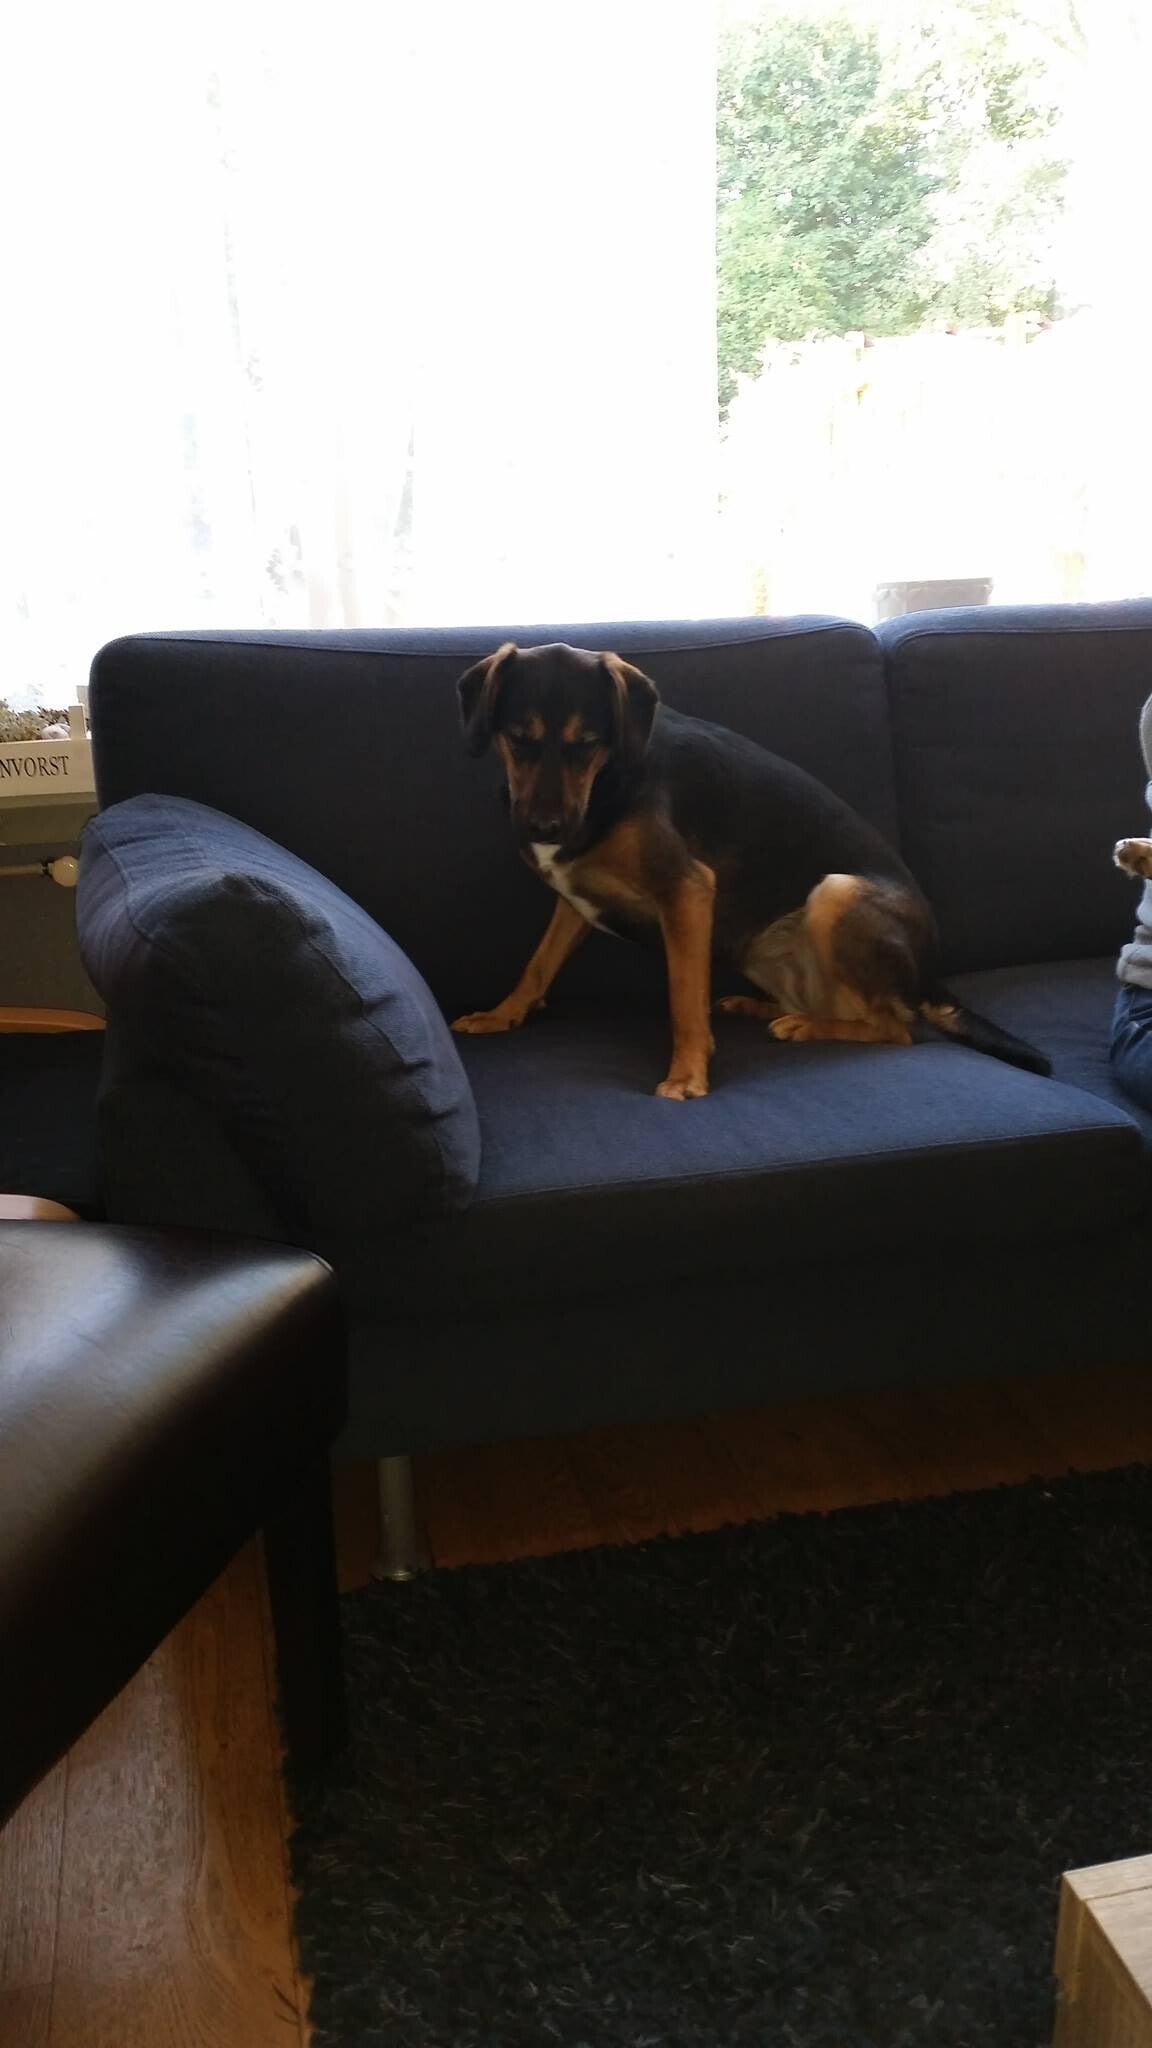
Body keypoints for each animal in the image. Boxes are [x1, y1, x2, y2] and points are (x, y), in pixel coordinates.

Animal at [451, 641, 1050, 1099]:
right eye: (518, 738)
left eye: (587, 745)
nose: (544, 828)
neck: (608, 783)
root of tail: (930, 976)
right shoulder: (574, 900)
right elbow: (538, 965)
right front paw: (502, 1014)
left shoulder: (688, 892)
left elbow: (683, 998)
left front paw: (687, 1076)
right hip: (762, 945)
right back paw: (759, 1007)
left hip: (834, 894)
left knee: (896, 1028)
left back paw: (805, 1025)